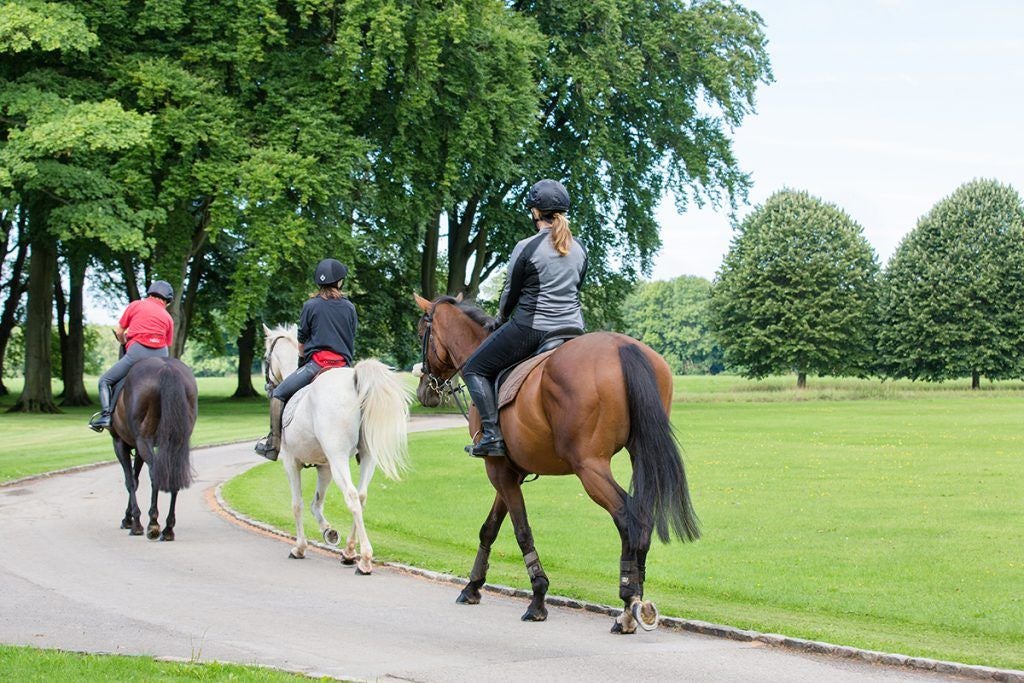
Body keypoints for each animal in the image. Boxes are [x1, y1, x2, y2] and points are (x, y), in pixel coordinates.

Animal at [111, 356, 200, 540]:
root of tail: (166, 367)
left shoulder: (120, 443)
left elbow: (130, 481)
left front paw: (134, 522)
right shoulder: (138, 448)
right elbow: (135, 479)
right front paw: (129, 518)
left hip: (143, 440)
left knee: (154, 473)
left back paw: (153, 523)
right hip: (175, 442)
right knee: (173, 474)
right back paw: (168, 528)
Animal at [262, 323, 409, 573]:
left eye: (265, 358)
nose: (269, 386)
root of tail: (353, 382)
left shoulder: (291, 461)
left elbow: (297, 504)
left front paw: (300, 547)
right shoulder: (325, 466)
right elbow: (316, 503)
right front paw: (329, 532)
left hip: (338, 456)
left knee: (351, 495)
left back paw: (365, 559)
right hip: (366, 457)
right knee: (361, 496)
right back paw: (349, 551)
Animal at [411, 294, 700, 634]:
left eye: (422, 333)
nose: (425, 390)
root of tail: (621, 347)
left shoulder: (498, 471)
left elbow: (522, 532)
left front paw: (537, 599)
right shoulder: (509, 472)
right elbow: (489, 529)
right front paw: (472, 587)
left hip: (589, 467)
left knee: (629, 518)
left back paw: (629, 606)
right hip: (636, 454)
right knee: (643, 518)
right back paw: (635, 603)